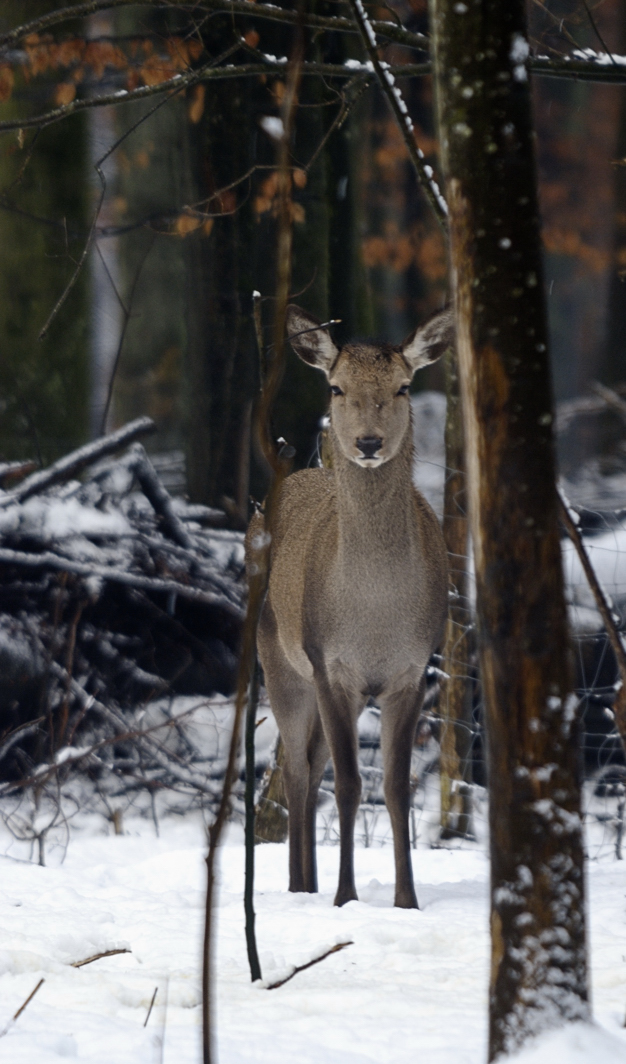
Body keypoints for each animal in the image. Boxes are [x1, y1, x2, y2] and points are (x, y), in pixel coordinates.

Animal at [245, 304, 455, 910]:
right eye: (336, 387)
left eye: (403, 386)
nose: (366, 442)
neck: (375, 615)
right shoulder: (330, 663)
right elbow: (349, 784)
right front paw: (345, 897)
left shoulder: (411, 669)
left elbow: (396, 787)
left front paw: (406, 900)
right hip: (280, 661)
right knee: (297, 769)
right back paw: (300, 886)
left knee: (311, 766)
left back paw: (307, 882)